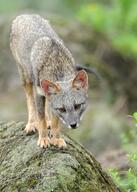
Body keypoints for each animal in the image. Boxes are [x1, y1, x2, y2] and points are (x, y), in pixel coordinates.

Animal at [10, 14, 88, 148]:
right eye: (63, 109)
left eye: (77, 106)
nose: (73, 125)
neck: (56, 63)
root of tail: (25, 15)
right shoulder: (39, 93)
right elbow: (41, 120)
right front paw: (43, 139)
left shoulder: (50, 99)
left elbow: (55, 121)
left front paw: (56, 138)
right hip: (26, 78)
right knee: (30, 101)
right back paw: (31, 124)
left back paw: (48, 122)